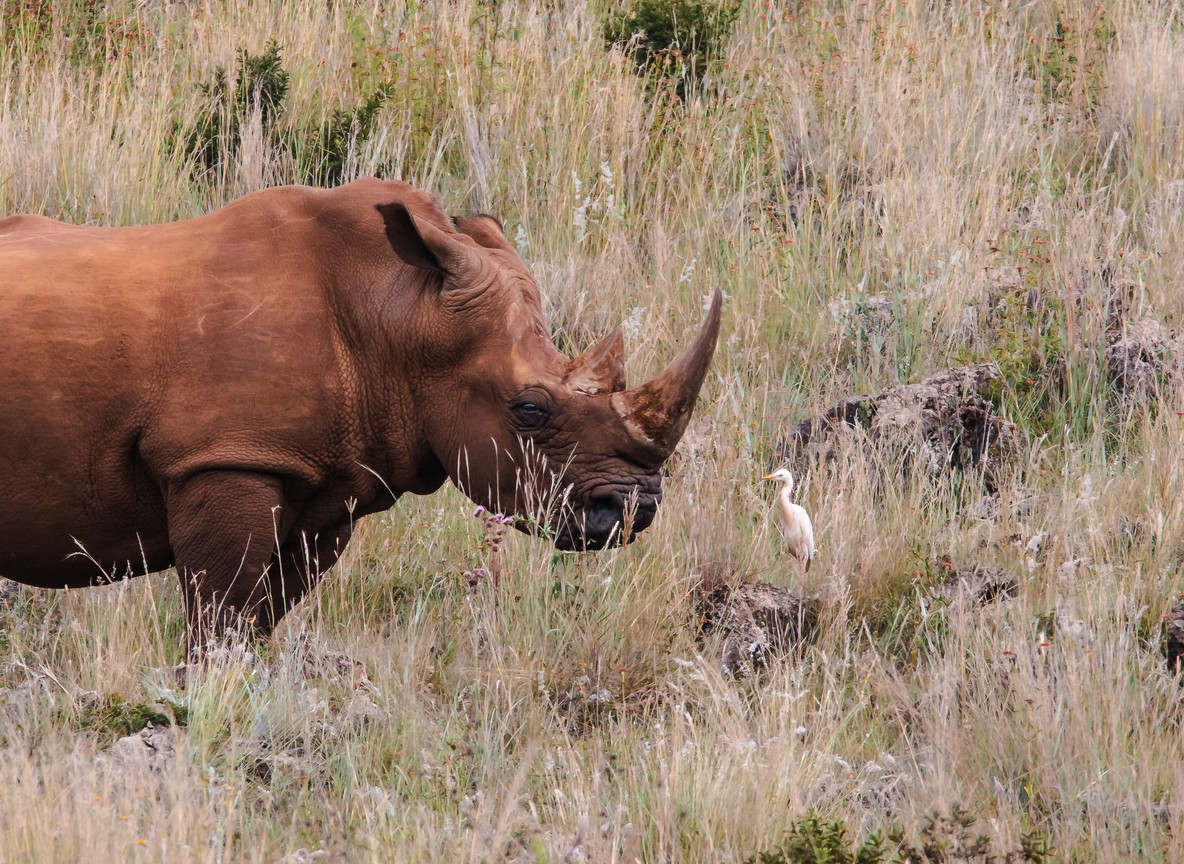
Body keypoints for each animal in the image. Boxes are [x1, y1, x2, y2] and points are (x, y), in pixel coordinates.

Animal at [0, 179, 721, 650]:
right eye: (530, 409)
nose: (634, 511)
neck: (401, 314)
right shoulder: (225, 459)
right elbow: (220, 614)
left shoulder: (328, 482)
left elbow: (259, 615)